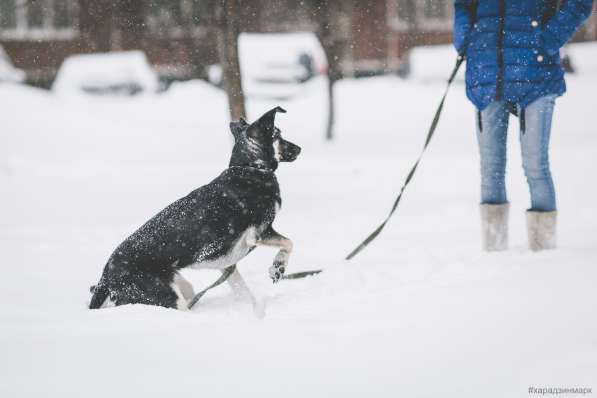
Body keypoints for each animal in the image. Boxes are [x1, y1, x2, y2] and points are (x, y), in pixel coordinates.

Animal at [89, 107, 300, 310]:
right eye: (278, 134)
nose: (299, 148)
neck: (249, 168)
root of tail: (106, 275)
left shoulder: (228, 263)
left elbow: (243, 289)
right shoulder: (256, 234)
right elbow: (289, 242)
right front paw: (278, 267)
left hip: (181, 286)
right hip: (169, 296)